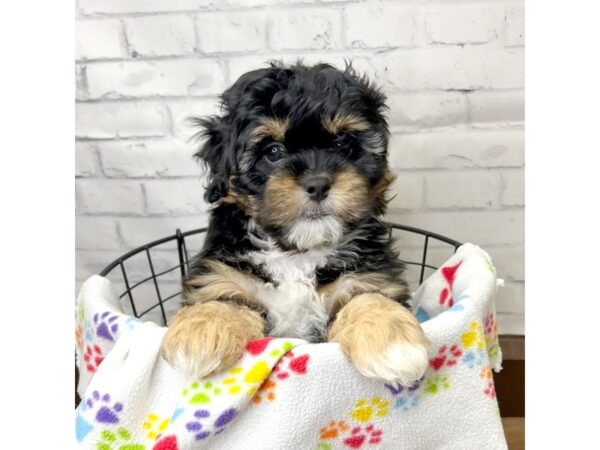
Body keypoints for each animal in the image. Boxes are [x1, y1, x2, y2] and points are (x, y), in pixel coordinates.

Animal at [162, 60, 428, 386]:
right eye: (273, 152)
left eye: (342, 144)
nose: (317, 184)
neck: (298, 252)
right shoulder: (224, 273)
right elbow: (221, 297)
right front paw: (199, 334)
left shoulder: (367, 276)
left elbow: (370, 297)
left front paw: (393, 344)